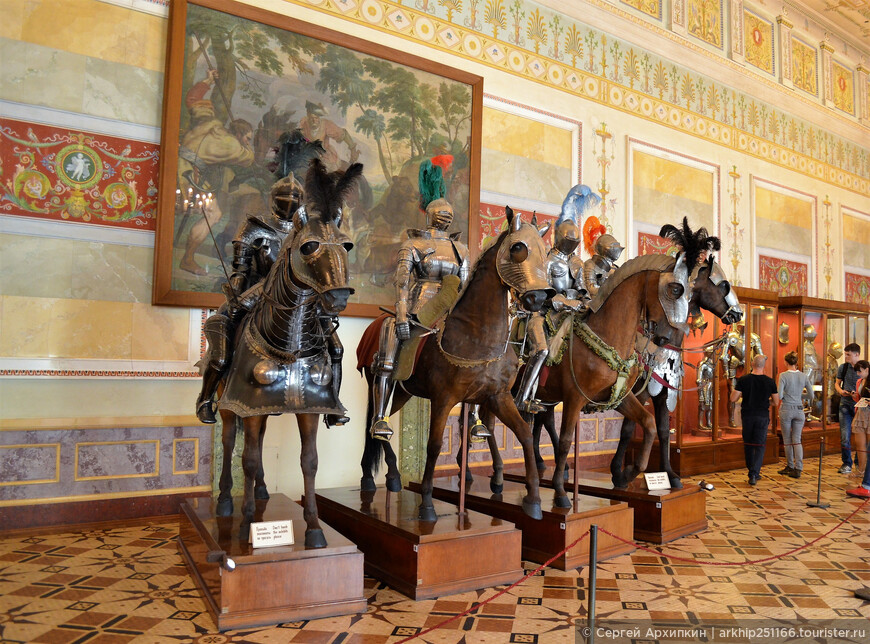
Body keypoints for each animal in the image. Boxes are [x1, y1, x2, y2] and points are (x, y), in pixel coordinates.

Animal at [216, 158, 362, 544]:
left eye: (347, 246)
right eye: (309, 247)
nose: (338, 297)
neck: (291, 344)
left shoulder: (309, 407)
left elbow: (309, 462)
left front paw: (314, 529)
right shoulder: (247, 404)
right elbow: (248, 459)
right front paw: (245, 527)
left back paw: (263, 492)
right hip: (226, 403)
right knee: (228, 441)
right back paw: (225, 501)